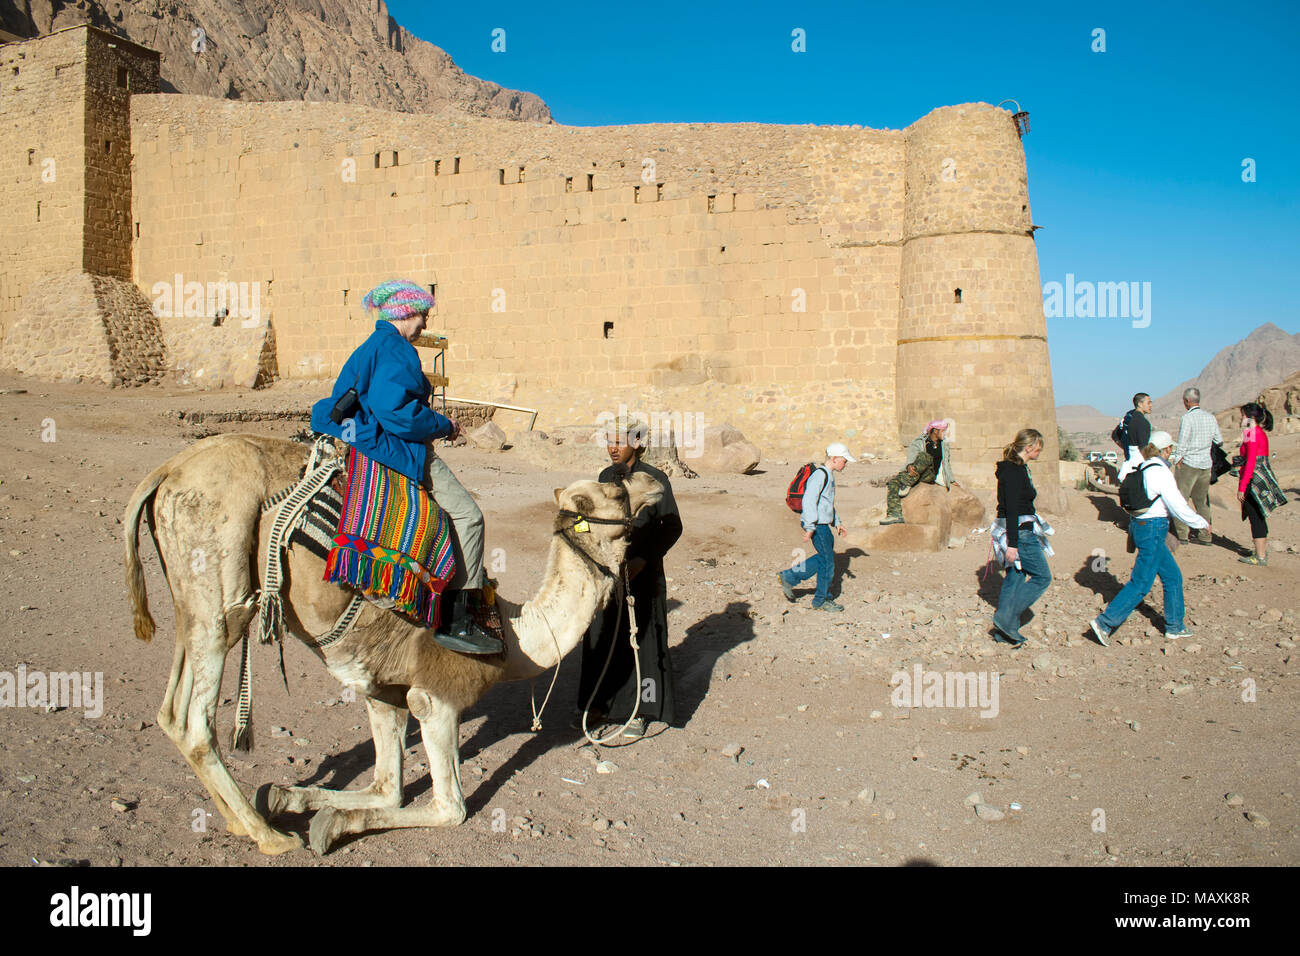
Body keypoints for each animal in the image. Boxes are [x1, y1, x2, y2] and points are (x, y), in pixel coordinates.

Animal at [122, 434, 660, 853]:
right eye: (617, 489)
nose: (657, 483)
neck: (513, 639)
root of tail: (164, 473)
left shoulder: (384, 689)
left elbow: (387, 790)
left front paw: (292, 797)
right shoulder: (435, 697)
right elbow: (450, 808)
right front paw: (328, 823)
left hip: (189, 597)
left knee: (171, 704)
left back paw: (241, 821)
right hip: (220, 565)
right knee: (195, 717)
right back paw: (269, 837)